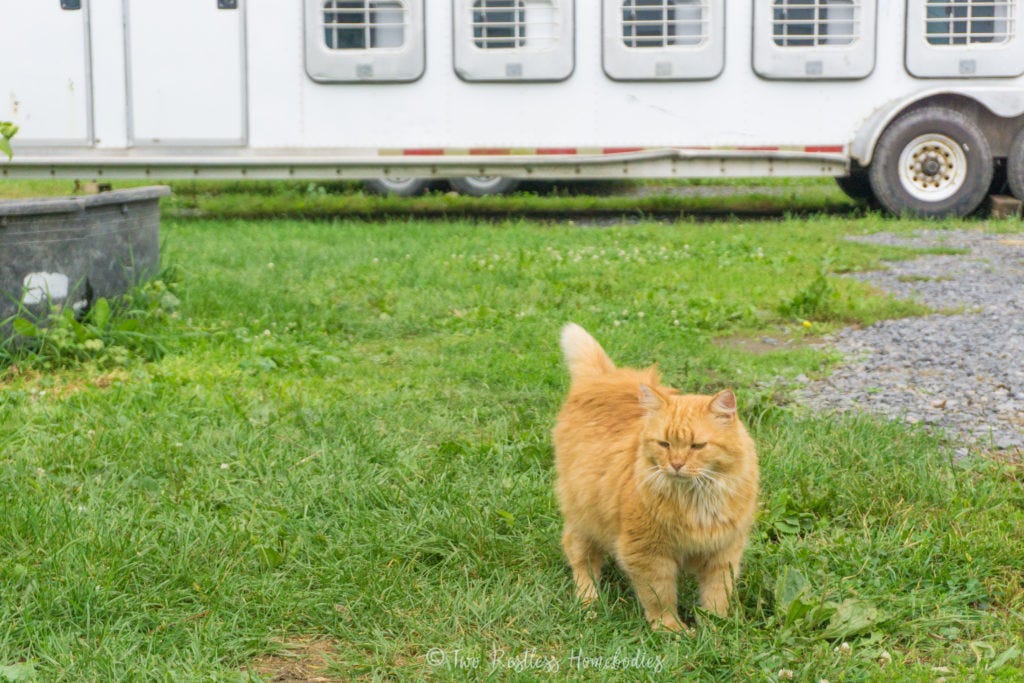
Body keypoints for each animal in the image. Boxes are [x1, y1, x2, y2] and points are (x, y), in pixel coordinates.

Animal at [552, 323, 761, 634]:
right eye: (664, 444)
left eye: (697, 446)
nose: (675, 464)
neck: (697, 499)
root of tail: (606, 377)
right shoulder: (647, 553)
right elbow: (659, 596)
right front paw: (671, 630)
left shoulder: (724, 552)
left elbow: (716, 595)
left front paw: (713, 629)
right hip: (583, 516)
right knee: (581, 560)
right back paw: (589, 601)